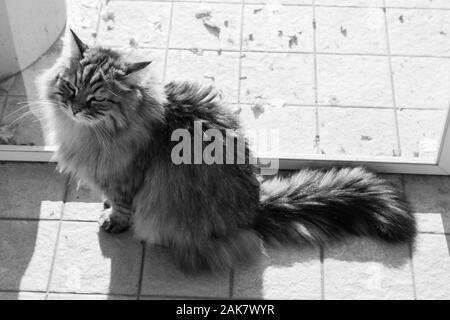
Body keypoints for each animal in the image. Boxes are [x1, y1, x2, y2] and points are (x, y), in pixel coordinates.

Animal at [37, 30, 416, 274]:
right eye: (69, 87)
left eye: (97, 98)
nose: (74, 107)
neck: (87, 132)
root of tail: (254, 209)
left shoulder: (126, 180)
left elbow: (121, 207)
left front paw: (112, 221)